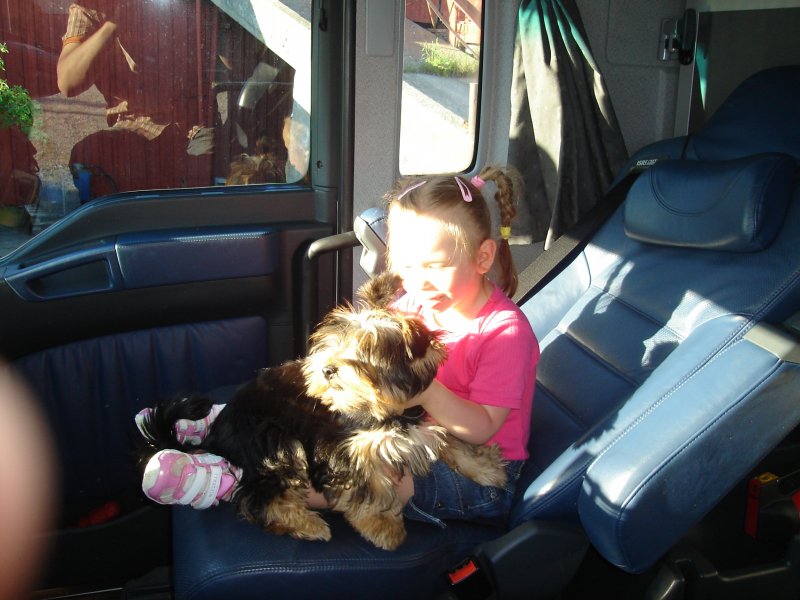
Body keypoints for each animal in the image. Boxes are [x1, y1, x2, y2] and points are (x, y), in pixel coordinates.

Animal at [137, 272, 507, 550]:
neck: (381, 411)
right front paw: (384, 526)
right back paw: (306, 524)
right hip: (274, 439)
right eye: (334, 344)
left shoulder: (418, 421)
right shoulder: (338, 447)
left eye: (366, 351)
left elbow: (449, 439)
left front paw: (486, 468)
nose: (328, 368)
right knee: (258, 495)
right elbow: (366, 483)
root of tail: (217, 434)